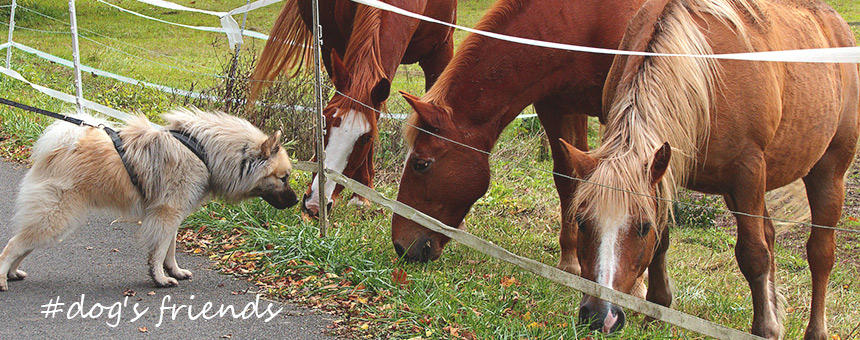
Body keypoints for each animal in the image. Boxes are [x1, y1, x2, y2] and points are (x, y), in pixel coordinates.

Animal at [0, 108, 300, 290]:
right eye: (284, 178)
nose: (297, 202)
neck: (204, 152)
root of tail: (57, 149)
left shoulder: (173, 216)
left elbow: (170, 249)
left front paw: (174, 271)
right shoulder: (166, 214)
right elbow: (158, 251)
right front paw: (160, 278)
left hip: (53, 221)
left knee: (23, 244)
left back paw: (13, 273)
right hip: (57, 217)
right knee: (13, 245)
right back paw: (3, 278)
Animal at [556, 0, 860, 338]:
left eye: (641, 227)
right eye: (581, 222)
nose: (600, 316)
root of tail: (837, 25)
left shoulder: (748, 172)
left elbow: (754, 255)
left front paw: (765, 327)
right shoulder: (667, 170)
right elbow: (664, 241)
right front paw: (657, 306)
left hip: (827, 174)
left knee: (820, 253)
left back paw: (814, 329)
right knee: (771, 235)